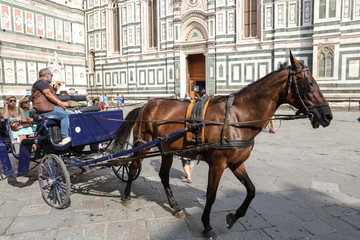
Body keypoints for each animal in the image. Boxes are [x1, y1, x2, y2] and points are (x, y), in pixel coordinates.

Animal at [114, 52, 334, 238]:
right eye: (309, 83)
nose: (328, 116)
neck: (238, 117)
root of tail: (145, 104)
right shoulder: (218, 164)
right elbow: (211, 195)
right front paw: (207, 225)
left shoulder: (237, 163)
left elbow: (251, 190)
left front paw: (233, 217)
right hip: (142, 144)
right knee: (132, 167)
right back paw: (126, 197)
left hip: (167, 149)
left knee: (163, 176)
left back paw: (175, 207)